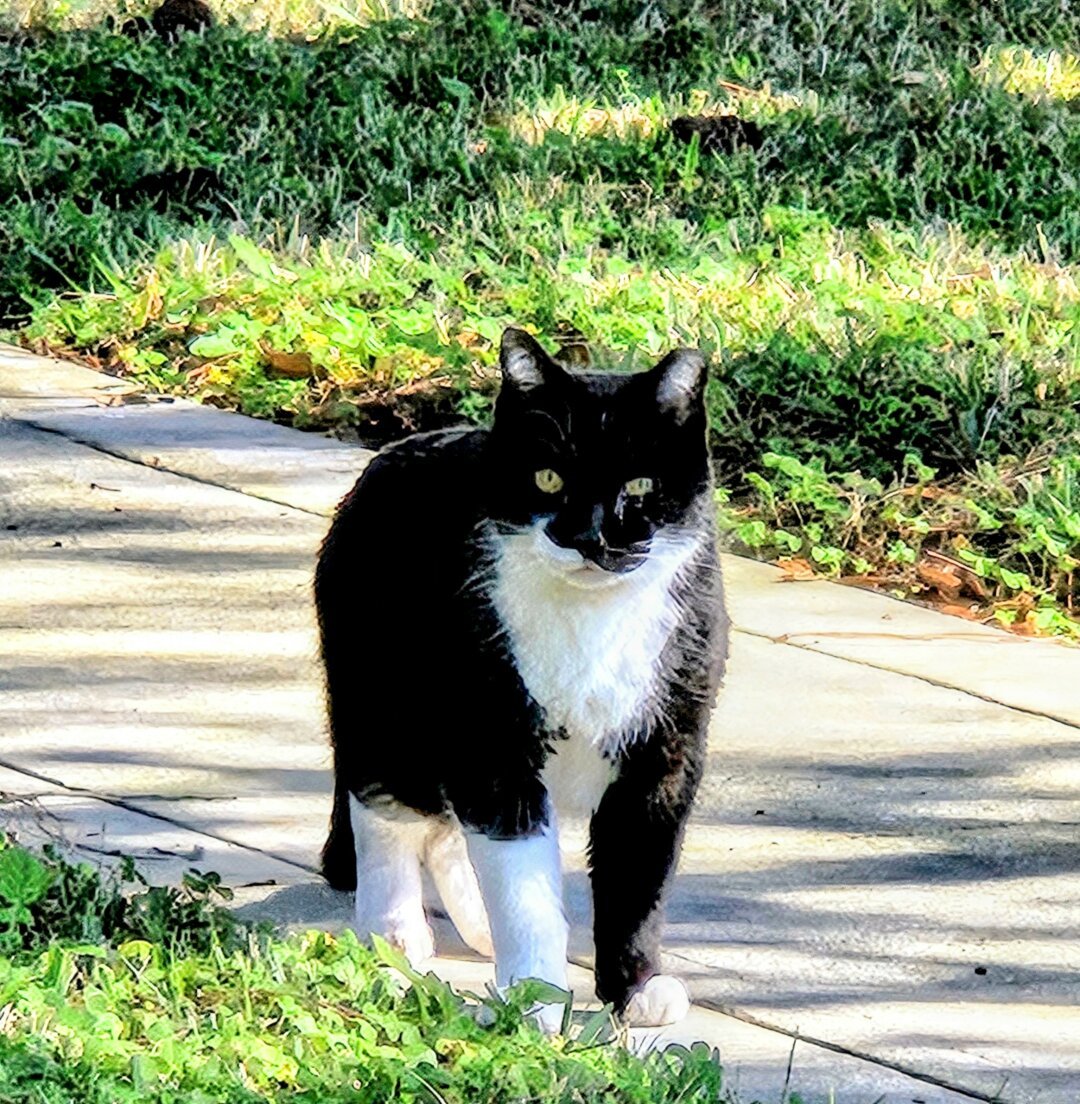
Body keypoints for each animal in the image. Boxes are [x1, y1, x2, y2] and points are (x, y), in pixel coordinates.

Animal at [315, 322, 728, 1028]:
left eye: (641, 488)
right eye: (548, 477)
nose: (591, 538)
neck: (592, 619)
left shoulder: (667, 752)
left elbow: (638, 881)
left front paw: (637, 988)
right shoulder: (492, 741)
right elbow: (523, 888)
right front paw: (535, 1004)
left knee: (445, 829)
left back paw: (476, 924)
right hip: (385, 699)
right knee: (387, 807)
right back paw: (396, 932)